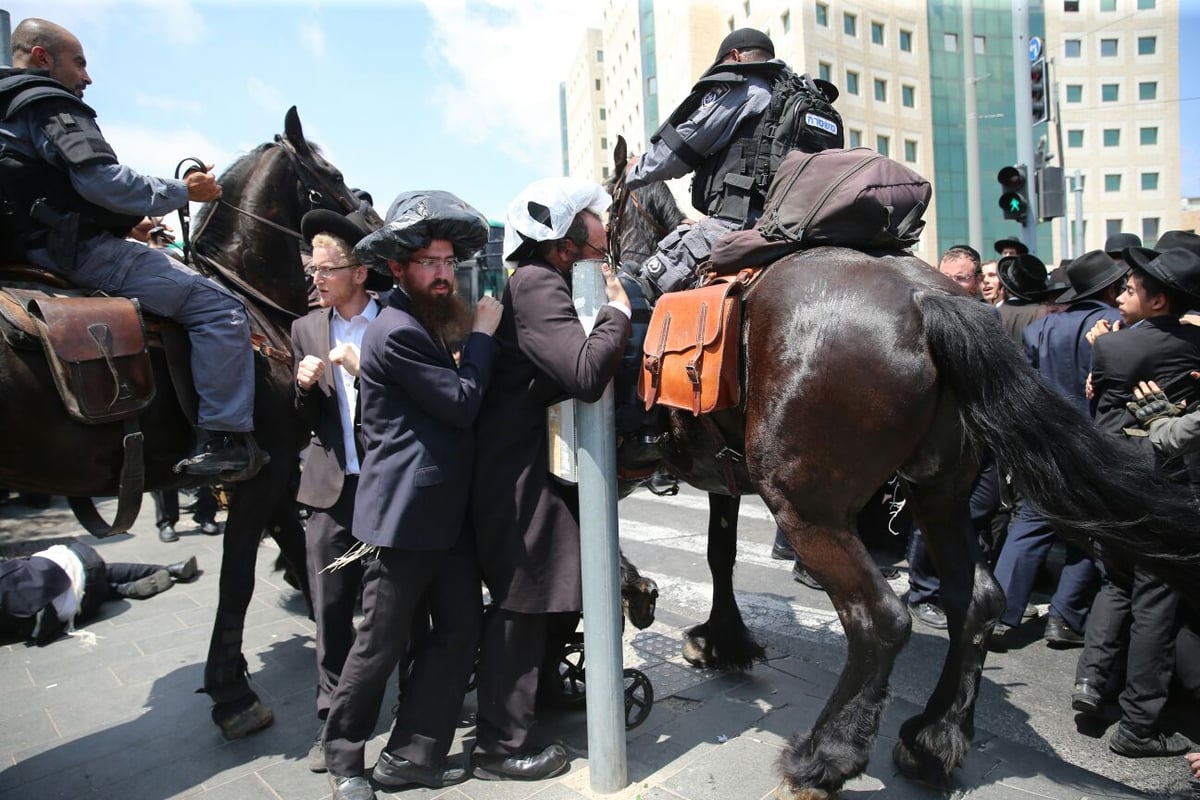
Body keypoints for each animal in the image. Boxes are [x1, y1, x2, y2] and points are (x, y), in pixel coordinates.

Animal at [0, 109, 379, 743]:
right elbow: (240, 576)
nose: (374, 225)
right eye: (332, 175)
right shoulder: (263, 468)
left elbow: (292, 542)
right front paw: (232, 692)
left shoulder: (275, 464)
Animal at [604, 140, 1200, 796]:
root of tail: (929, 298)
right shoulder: (722, 480)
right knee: (978, 599)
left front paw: (640, 594)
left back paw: (826, 755)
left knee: (880, 619)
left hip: (805, 504)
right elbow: (718, 554)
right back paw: (932, 739)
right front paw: (722, 640)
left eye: (606, 216)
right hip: (939, 492)